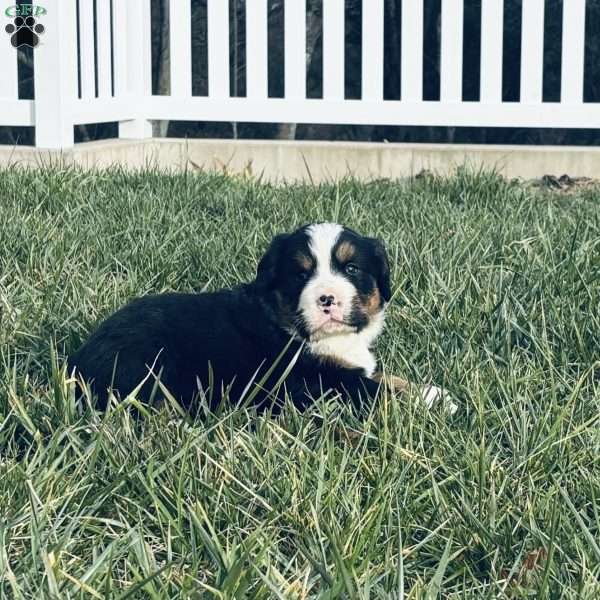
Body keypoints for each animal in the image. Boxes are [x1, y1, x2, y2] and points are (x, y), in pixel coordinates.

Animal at [71, 223, 454, 414]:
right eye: (300, 275)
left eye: (351, 269)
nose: (327, 299)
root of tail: (78, 360)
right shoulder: (321, 383)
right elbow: (377, 390)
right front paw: (432, 399)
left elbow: (385, 377)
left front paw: (429, 390)